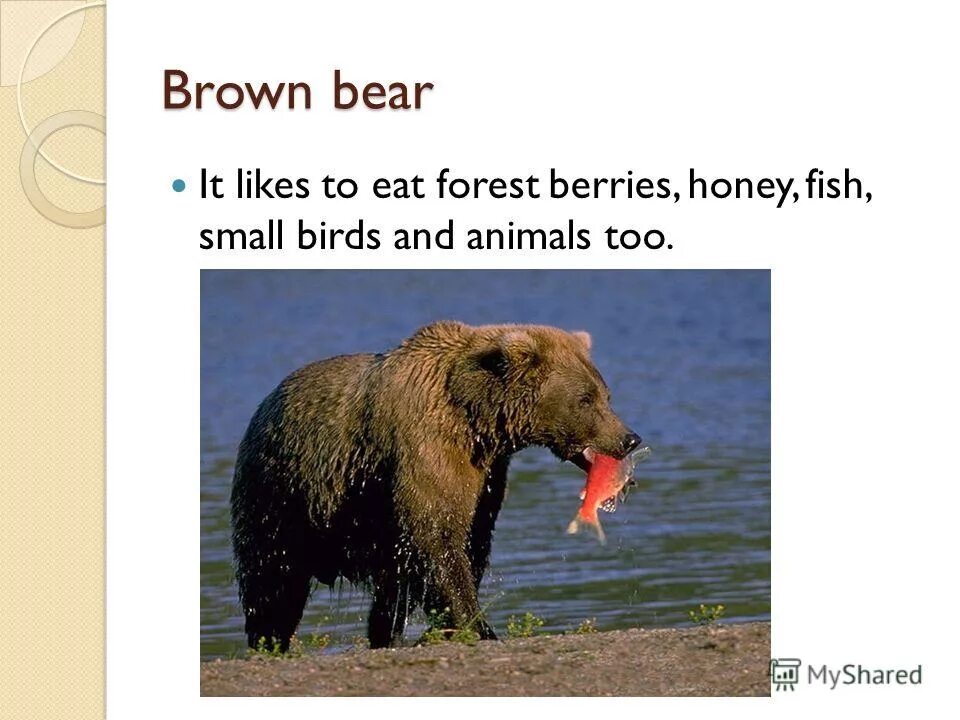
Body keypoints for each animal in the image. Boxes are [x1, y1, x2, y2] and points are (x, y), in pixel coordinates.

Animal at [230, 321, 642, 650]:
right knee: (272, 578)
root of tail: (265, 403)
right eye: (585, 399)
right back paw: (270, 642)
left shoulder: (485, 474)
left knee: (389, 588)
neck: (476, 419)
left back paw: (383, 636)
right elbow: (437, 537)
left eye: (605, 394)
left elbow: (469, 539)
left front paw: (446, 627)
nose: (629, 438)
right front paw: (478, 627)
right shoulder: (426, 447)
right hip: (282, 493)